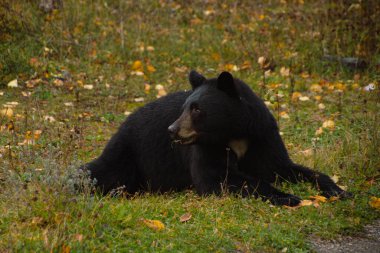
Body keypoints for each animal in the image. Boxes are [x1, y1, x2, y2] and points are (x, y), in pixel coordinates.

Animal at [83, 70, 350, 206]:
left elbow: (282, 166)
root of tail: (123, 123)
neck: (234, 133)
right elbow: (217, 177)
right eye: (184, 107)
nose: (171, 129)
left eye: (197, 109)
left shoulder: (263, 137)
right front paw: (288, 196)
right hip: (128, 152)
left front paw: (339, 190)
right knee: (101, 172)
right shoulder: (207, 147)